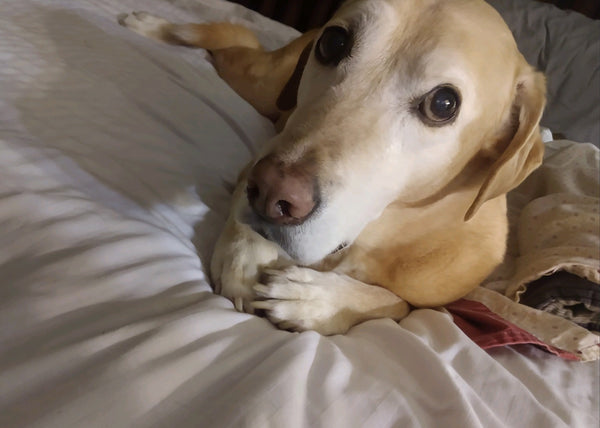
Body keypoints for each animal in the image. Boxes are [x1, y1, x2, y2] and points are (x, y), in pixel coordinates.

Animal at [119, 0, 548, 334]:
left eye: (443, 104)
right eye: (334, 42)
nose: (270, 192)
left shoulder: (431, 303)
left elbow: (389, 302)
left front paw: (313, 299)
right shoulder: (254, 164)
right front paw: (245, 256)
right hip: (261, 84)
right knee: (226, 40)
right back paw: (151, 24)